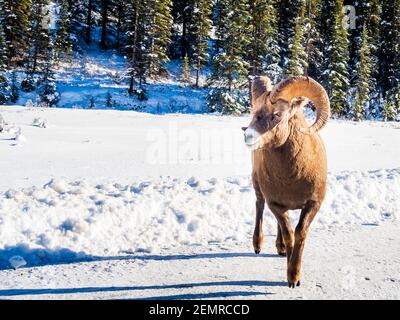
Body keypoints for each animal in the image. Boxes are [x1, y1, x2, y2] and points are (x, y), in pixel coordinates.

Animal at [242, 75, 330, 288]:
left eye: (277, 114)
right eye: (254, 111)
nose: (248, 136)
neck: (292, 177)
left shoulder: (313, 204)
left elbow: (299, 233)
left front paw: (294, 275)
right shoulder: (275, 204)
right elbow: (290, 233)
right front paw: (291, 277)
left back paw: (280, 249)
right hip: (258, 189)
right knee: (259, 206)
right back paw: (258, 245)